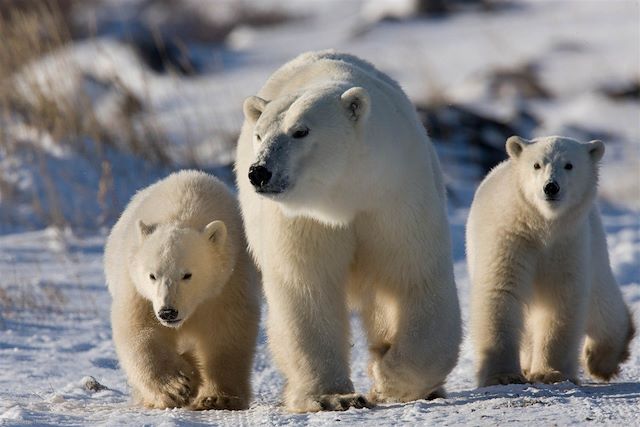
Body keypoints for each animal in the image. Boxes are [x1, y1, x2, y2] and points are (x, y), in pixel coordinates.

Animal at [104, 171, 258, 412]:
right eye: (152, 275)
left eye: (187, 275)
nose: (168, 312)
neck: (183, 211)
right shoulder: (138, 289)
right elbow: (139, 329)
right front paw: (176, 387)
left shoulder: (229, 282)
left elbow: (227, 332)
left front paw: (217, 398)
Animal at [235, 51, 460, 414]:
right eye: (259, 134)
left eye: (300, 131)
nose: (259, 172)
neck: (344, 195)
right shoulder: (304, 221)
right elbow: (306, 288)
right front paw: (333, 397)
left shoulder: (394, 198)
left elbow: (414, 277)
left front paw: (388, 376)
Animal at [464, 136, 636, 388]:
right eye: (537, 165)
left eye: (569, 165)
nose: (551, 187)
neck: (540, 224)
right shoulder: (511, 239)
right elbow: (501, 292)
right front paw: (503, 376)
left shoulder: (566, 243)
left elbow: (559, 300)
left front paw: (550, 373)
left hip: (593, 241)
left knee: (600, 300)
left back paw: (602, 359)